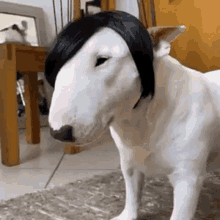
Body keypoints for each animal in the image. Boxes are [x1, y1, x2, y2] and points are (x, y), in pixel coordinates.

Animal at [45, 10, 220, 220]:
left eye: (102, 59)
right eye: (57, 65)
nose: (59, 132)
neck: (143, 118)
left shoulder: (188, 178)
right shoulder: (129, 163)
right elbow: (132, 193)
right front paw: (126, 215)